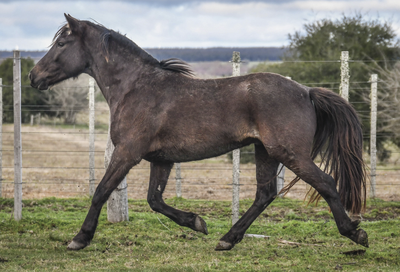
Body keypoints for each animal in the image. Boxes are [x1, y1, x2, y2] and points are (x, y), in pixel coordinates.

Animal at [30, 13, 368, 251]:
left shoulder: (128, 153)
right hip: (266, 152)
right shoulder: (161, 159)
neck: (136, 87)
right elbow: (155, 200)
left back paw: (355, 233)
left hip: (290, 153)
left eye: (61, 44)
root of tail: (306, 91)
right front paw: (196, 222)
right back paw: (227, 239)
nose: (34, 76)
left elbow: (102, 191)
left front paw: (79, 238)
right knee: (265, 194)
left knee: (325, 183)